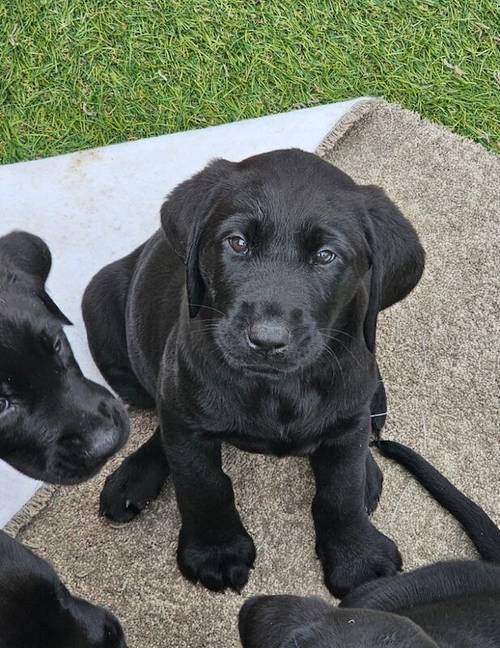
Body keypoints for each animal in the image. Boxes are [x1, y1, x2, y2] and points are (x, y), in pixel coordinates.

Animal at [83, 149, 426, 596]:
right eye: (238, 243)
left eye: (326, 255)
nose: (266, 340)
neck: (277, 389)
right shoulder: (185, 416)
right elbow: (201, 481)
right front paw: (216, 550)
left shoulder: (350, 415)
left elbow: (342, 488)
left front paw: (356, 555)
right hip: (103, 310)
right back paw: (133, 476)